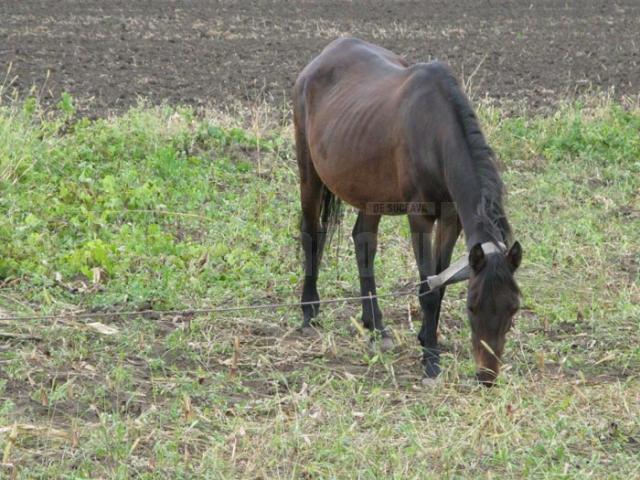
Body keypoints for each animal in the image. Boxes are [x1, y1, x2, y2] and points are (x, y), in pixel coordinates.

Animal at [292, 37, 524, 384]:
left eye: (513, 308)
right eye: (472, 306)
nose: (487, 376)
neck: (436, 133)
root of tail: (321, 59)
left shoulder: (451, 218)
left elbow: (439, 285)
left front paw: (427, 340)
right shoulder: (421, 218)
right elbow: (427, 287)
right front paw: (430, 360)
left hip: (369, 190)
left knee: (364, 243)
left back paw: (376, 325)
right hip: (310, 174)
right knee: (311, 235)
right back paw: (309, 312)